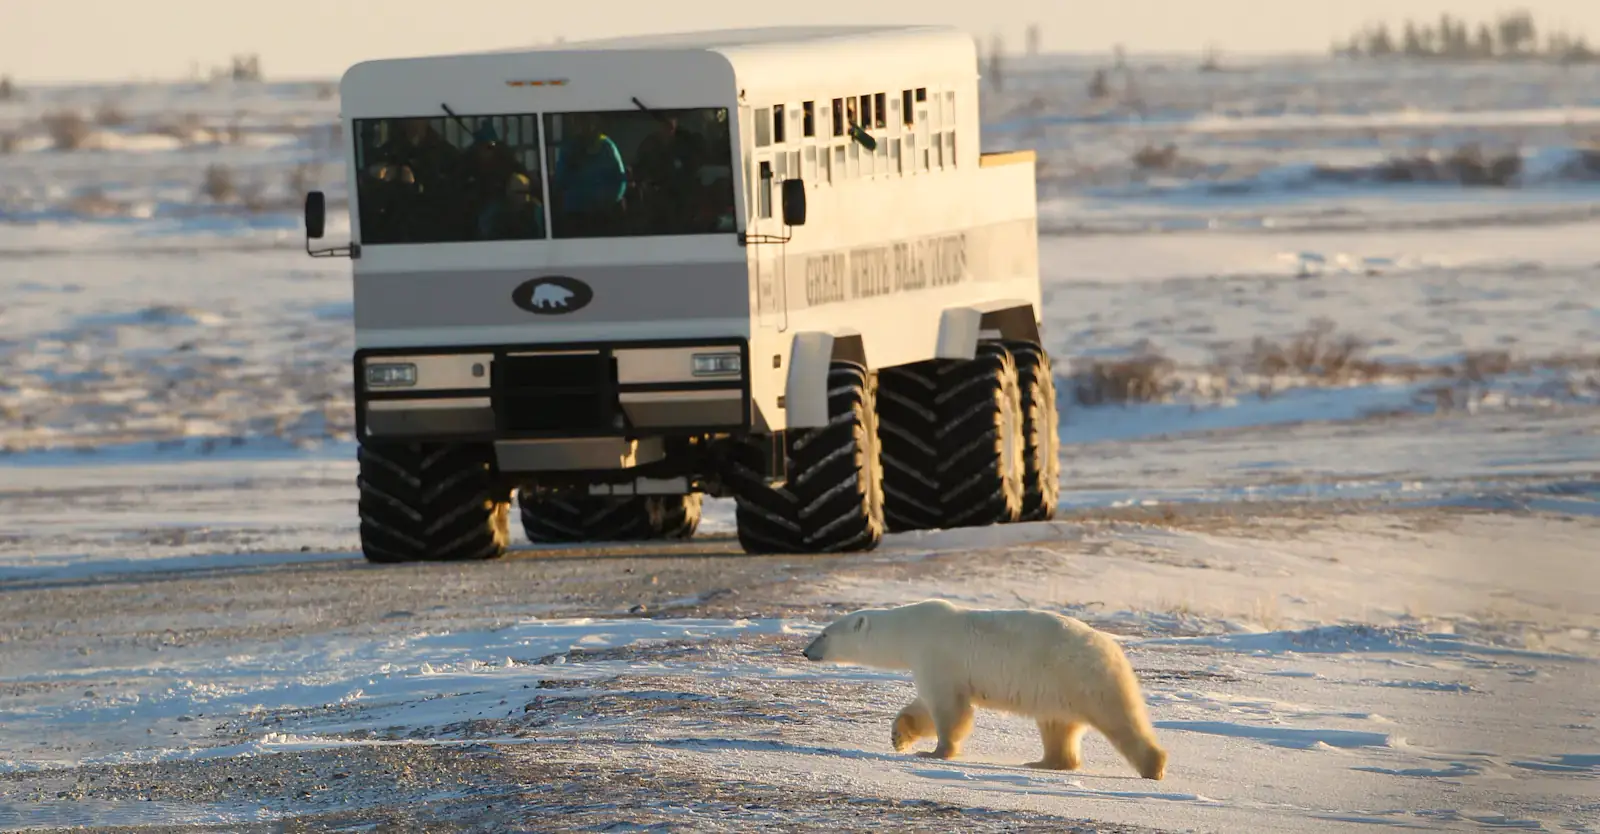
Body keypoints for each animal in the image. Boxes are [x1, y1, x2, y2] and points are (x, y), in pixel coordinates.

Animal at [801, 598, 1167, 780]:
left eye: (823, 633)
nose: (805, 652)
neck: (909, 628)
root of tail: (1112, 648)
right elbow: (925, 705)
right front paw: (899, 736)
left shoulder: (937, 652)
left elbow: (948, 708)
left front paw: (935, 752)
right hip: (1055, 689)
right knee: (1057, 724)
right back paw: (1043, 762)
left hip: (1080, 676)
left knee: (1119, 720)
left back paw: (1154, 766)